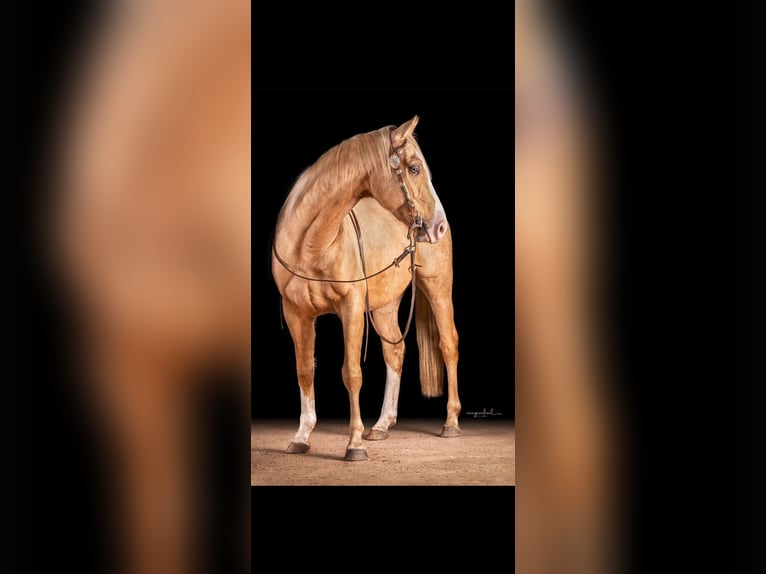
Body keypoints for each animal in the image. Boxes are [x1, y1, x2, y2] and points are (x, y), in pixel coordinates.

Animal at [271, 116, 461, 462]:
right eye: (414, 168)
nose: (437, 226)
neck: (312, 244)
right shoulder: (297, 314)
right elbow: (305, 369)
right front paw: (302, 436)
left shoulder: (352, 308)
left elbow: (351, 372)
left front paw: (355, 443)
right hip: (385, 306)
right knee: (395, 351)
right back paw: (382, 425)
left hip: (438, 287)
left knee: (448, 344)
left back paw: (451, 423)